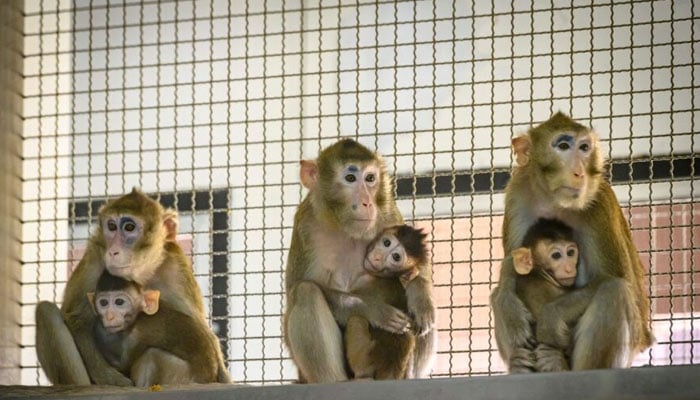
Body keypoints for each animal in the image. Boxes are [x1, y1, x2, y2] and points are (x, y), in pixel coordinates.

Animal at [87, 270, 223, 386]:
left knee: (152, 354)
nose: (109, 316)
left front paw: (99, 331)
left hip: (181, 377)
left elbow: (123, 365)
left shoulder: (139, 333)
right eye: (103, 303)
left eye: (119, 302)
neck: (139, 315)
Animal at [282, 139, 434, 382]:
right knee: (305, 292)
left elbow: (419, 268)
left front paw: (420, 295)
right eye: (351, 178)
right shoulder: (305, 226)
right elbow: (296, 288)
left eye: (370, 178)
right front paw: (373, 310)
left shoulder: (387, 214)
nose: (367, 203)